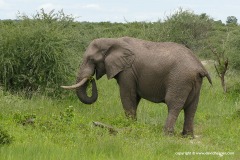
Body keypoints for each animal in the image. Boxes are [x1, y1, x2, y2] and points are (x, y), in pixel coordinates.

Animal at [62, 37, 212, 137]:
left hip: (179, 79)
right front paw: (133, 125)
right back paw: (187, 136)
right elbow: (135, 98)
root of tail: (200, 67)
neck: (113, 40)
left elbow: (127, 96)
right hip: (194, 83)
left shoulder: (127, 71)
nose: (92, 78)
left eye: (91, 60)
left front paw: (129, 126)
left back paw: (166, 134)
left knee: (174, 104)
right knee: (191, 107)